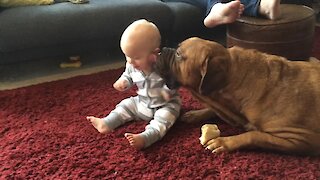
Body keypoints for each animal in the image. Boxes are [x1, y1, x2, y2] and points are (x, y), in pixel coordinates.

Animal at [154, 37, 320, 155]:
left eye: (178, 54)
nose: (162, 49)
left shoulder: (301, 139)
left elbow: (254, 135)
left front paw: (223, 142)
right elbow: (212, 110)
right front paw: (196, 114)